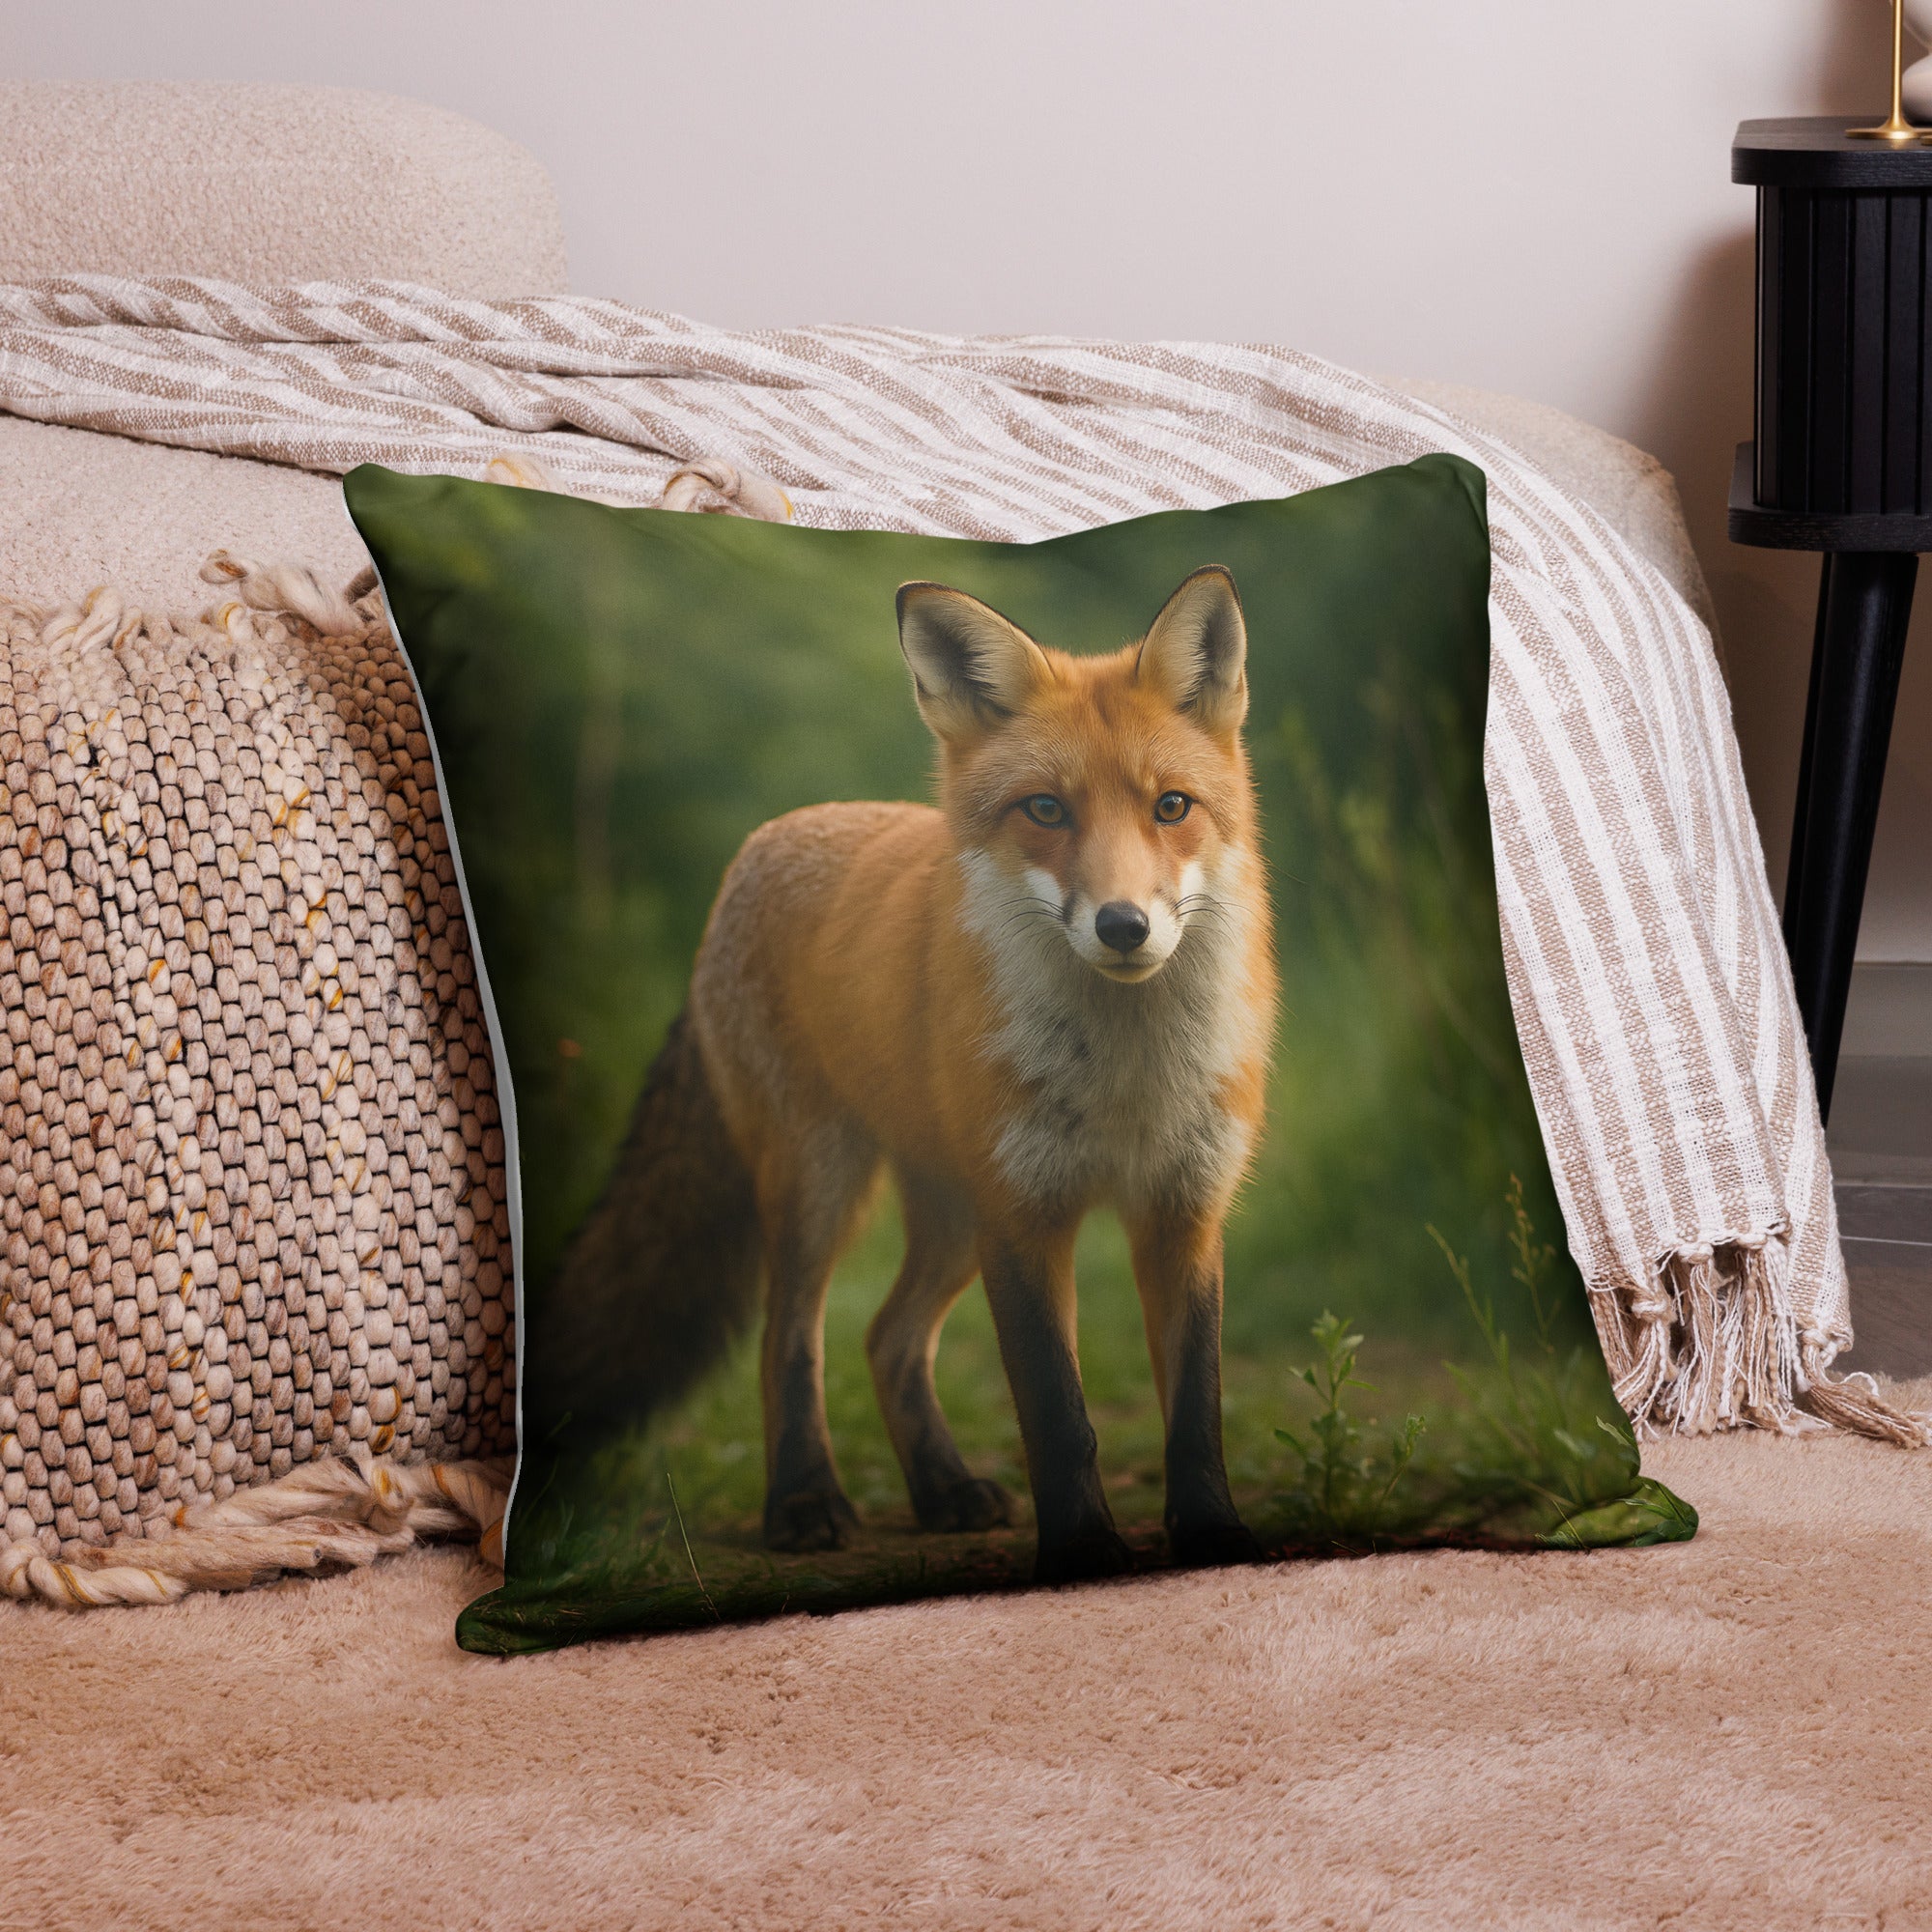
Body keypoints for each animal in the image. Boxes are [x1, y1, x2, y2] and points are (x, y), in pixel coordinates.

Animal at [528, 565, 1277, 1583]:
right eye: (1047, 809)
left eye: (1172, 807)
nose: (1123, 927)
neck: (1126, 1076)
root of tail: (771, 838)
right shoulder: (1024, 1218)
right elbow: (1058, 1417)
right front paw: (1082, 1552)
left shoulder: (1183, 1212)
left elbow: (1195, 1413)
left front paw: (1211, 1538)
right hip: (825, 1185)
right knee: (792, 1342)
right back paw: (803, 1503)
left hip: (952, 1213)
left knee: (888, 1338)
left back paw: (941, 1491)